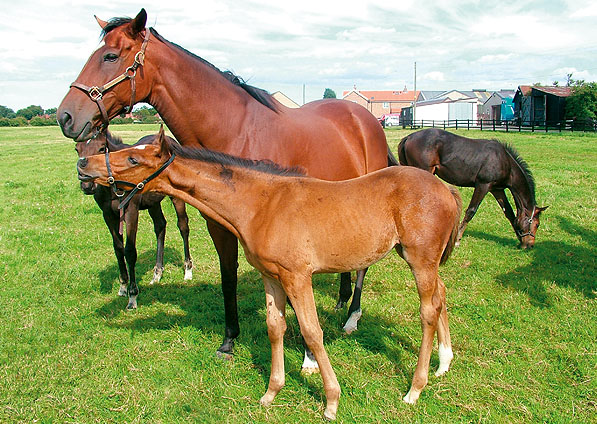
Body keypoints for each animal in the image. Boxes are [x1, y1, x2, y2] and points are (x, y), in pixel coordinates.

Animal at [74, 130, 191, 308]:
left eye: (101, 148)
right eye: (77, 149)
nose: (87, 186)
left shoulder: (131, 211)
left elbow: (129, 250)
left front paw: (133, 295)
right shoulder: (107, 215)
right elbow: (118, 248)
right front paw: (123, 287)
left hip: (176, 198)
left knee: (183, 226)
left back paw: (188, 271)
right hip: (153, 202)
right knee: (160, 226)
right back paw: (157, 273)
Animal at [398, 128, 548, 248]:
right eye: (537, 224)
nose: (530, 245)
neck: (505, 161)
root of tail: (408, 137)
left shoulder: (497, 189)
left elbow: (509, 213)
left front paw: (518, 238)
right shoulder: (483, 184)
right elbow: (471, 211)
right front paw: (457, 239)